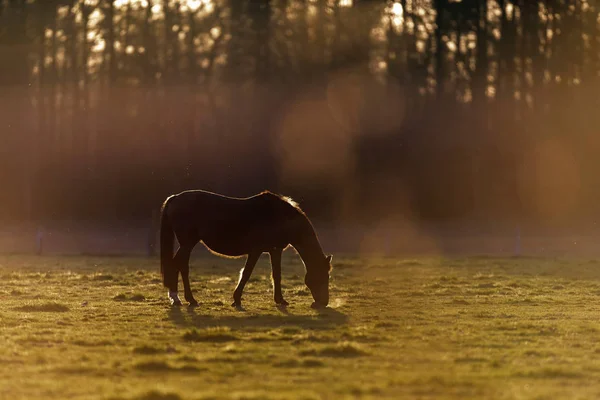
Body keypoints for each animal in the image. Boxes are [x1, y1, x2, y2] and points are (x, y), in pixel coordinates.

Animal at [158, 190, 332, 310]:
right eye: (323, 277)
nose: (323, 303)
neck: (279, 216)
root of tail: (175, 198)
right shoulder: (256, 250)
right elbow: (247, 273)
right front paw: (236, 299)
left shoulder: (275, 250)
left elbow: (277, 275)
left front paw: (280, 300)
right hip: (187, 243)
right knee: (178, 265)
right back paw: (183, 299)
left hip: (187, 244)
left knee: (180, 265)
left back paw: (181, 298)